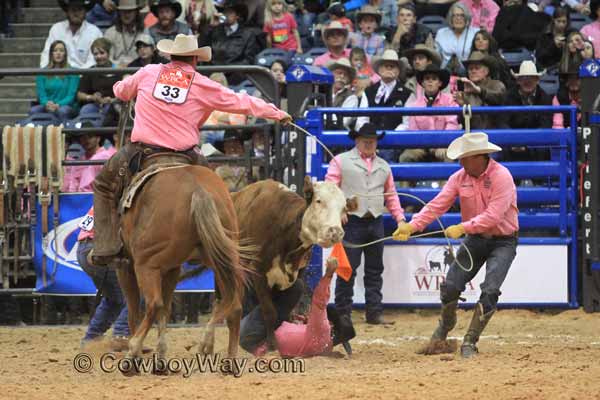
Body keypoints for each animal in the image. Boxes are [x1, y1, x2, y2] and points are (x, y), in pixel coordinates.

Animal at [116, 165, 247, 362]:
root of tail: (198, 189)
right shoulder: (172, 268)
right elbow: (166, 308)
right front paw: (160, 355)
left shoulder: (126, 266)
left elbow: (134, 309)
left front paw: (139, 354)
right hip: (220, 259)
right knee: (235, 306)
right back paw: (224, 356)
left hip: (146, 264)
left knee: (154, 304)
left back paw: (133, 351)